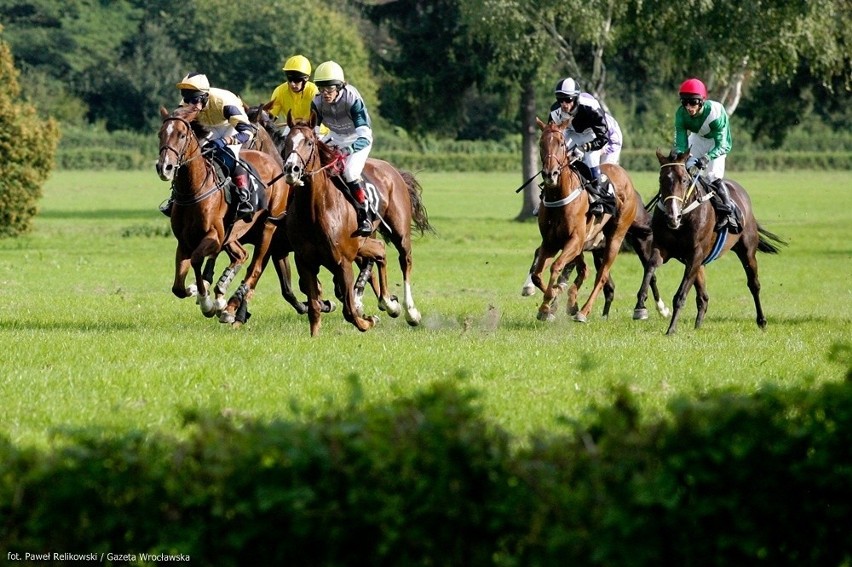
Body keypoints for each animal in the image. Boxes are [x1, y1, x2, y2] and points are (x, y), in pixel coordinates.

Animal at [157, 105, 292, 324]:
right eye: (161, 134)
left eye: (182, 134)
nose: (164, 167)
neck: (194, 191)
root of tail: (272, 161)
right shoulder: (184, 242)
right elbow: (178, 287)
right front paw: (197, 292)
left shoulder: (214, 236)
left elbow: (197, 259)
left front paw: (206, 302)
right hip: (234, 233)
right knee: (241, 255)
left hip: (268, 226)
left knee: (254, 267)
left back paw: (230, 306)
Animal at [282, 113, 432, 338]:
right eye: (286, 141)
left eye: (309, 142)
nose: (291, 169)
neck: (314, 212)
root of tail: (392, 169)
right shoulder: (305, 261)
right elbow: (315, 306)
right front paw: (315, 336)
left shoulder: (342, 262)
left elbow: (349, 310)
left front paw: (368, 320)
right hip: (365, 240)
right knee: (380, 252)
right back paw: (388, 303)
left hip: (399, 233)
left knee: (405, 261)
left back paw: (410, 312)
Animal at [528, 118, 648, 324]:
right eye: (541, 143)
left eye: (561, 143)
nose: (550, 174)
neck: (559, 195)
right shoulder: (551, 242)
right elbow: (537, 274)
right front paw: (551, 302)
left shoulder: (575, 240)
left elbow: (556, 266)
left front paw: (547, 304)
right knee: (586, 271)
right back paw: (573, 303)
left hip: (615, 238)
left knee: (601, 275)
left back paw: (583, 312)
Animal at [640, 152, 784, 338]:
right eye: (661, 179)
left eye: (684, 180)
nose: (672, 216)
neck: (684, 218)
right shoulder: (664, 249)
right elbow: (650, 267)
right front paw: (640, 305)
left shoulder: (695, 254)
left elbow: (680, 295)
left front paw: (671, 329)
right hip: (699, 263)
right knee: (703, 297)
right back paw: (698, 326)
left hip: (747, 250)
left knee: (754, 285)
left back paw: (762, 321)